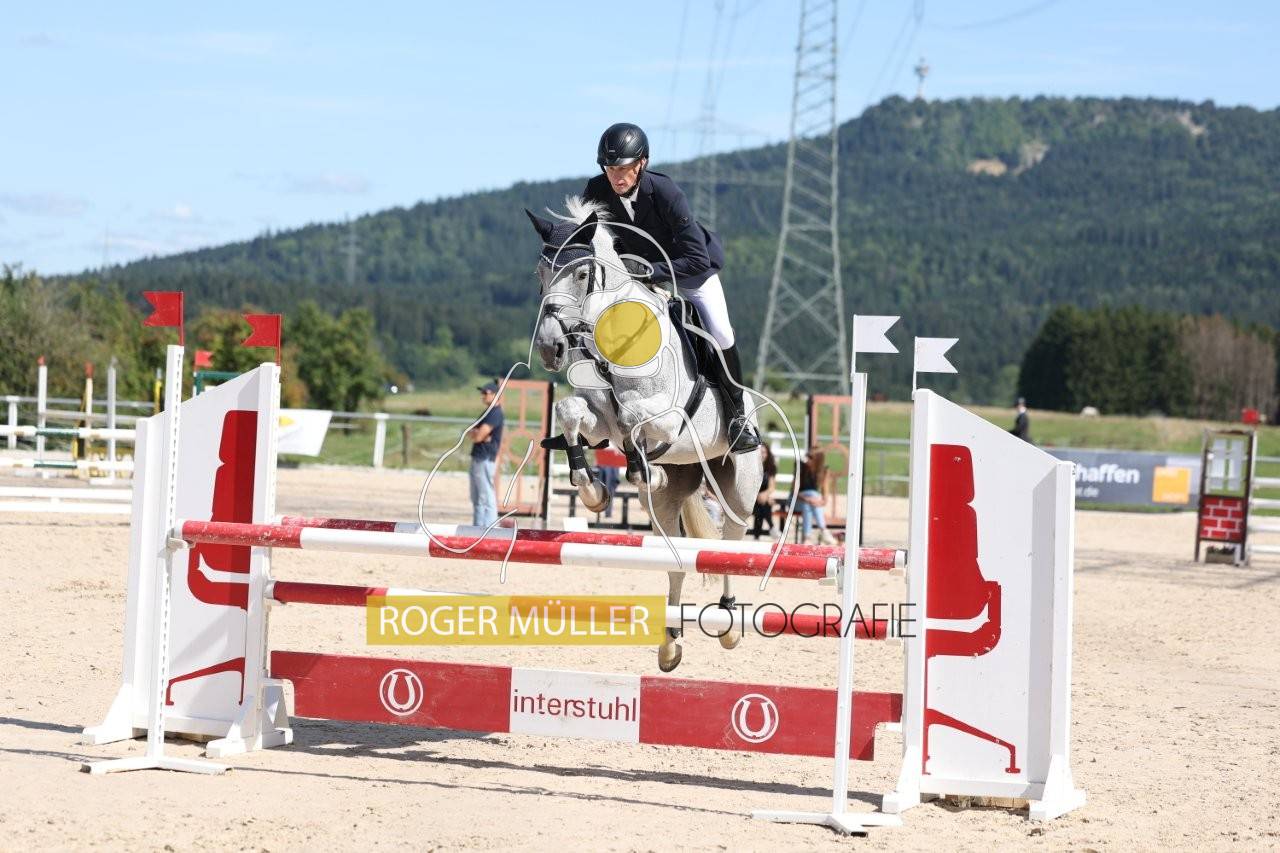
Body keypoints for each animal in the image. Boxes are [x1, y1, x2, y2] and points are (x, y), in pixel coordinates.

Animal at [525, 196, 764, 672]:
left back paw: (729, 625)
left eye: (582, 274)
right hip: (666, 508)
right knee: (676, 562)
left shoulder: (669, 418)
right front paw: (592, 490)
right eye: (540, 274)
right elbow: (571, 411)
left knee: (728, 547)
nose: (549, 349)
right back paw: (670, 644)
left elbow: (634, 417)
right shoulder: (598, 417)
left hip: (739, 494)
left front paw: (642, 469)